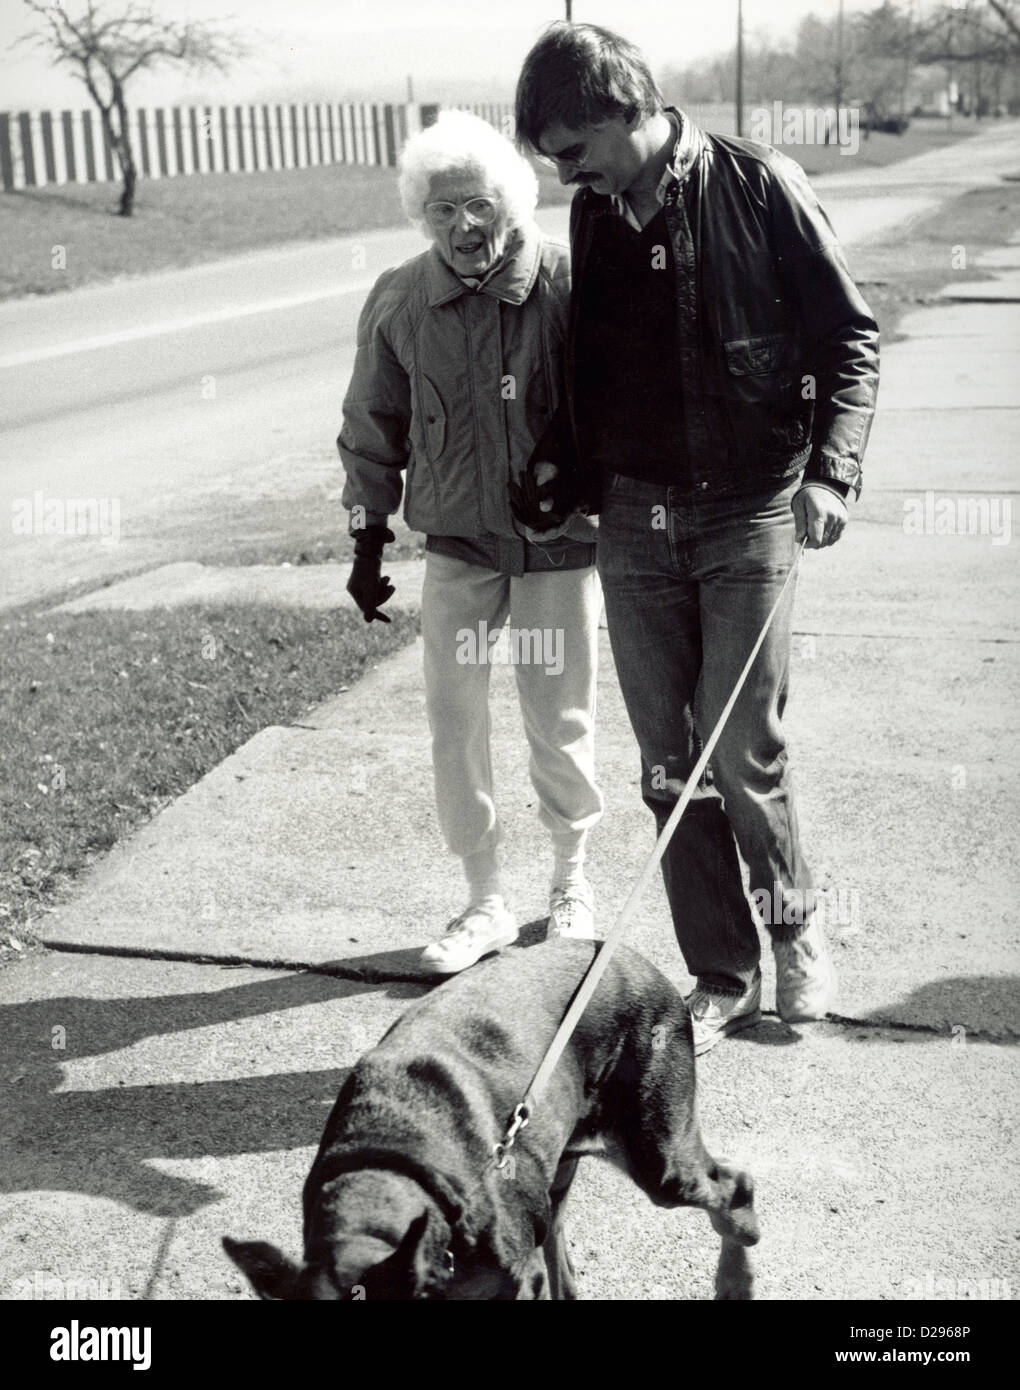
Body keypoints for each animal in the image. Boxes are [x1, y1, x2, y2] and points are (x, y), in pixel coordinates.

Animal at [225, 939, 767, 1295]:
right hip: (558, 1166)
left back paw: (736, 1281)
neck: (387, 1167)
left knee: (735, 1186)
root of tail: (626, 955)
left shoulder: (518, 1280)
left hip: (657, 1153)